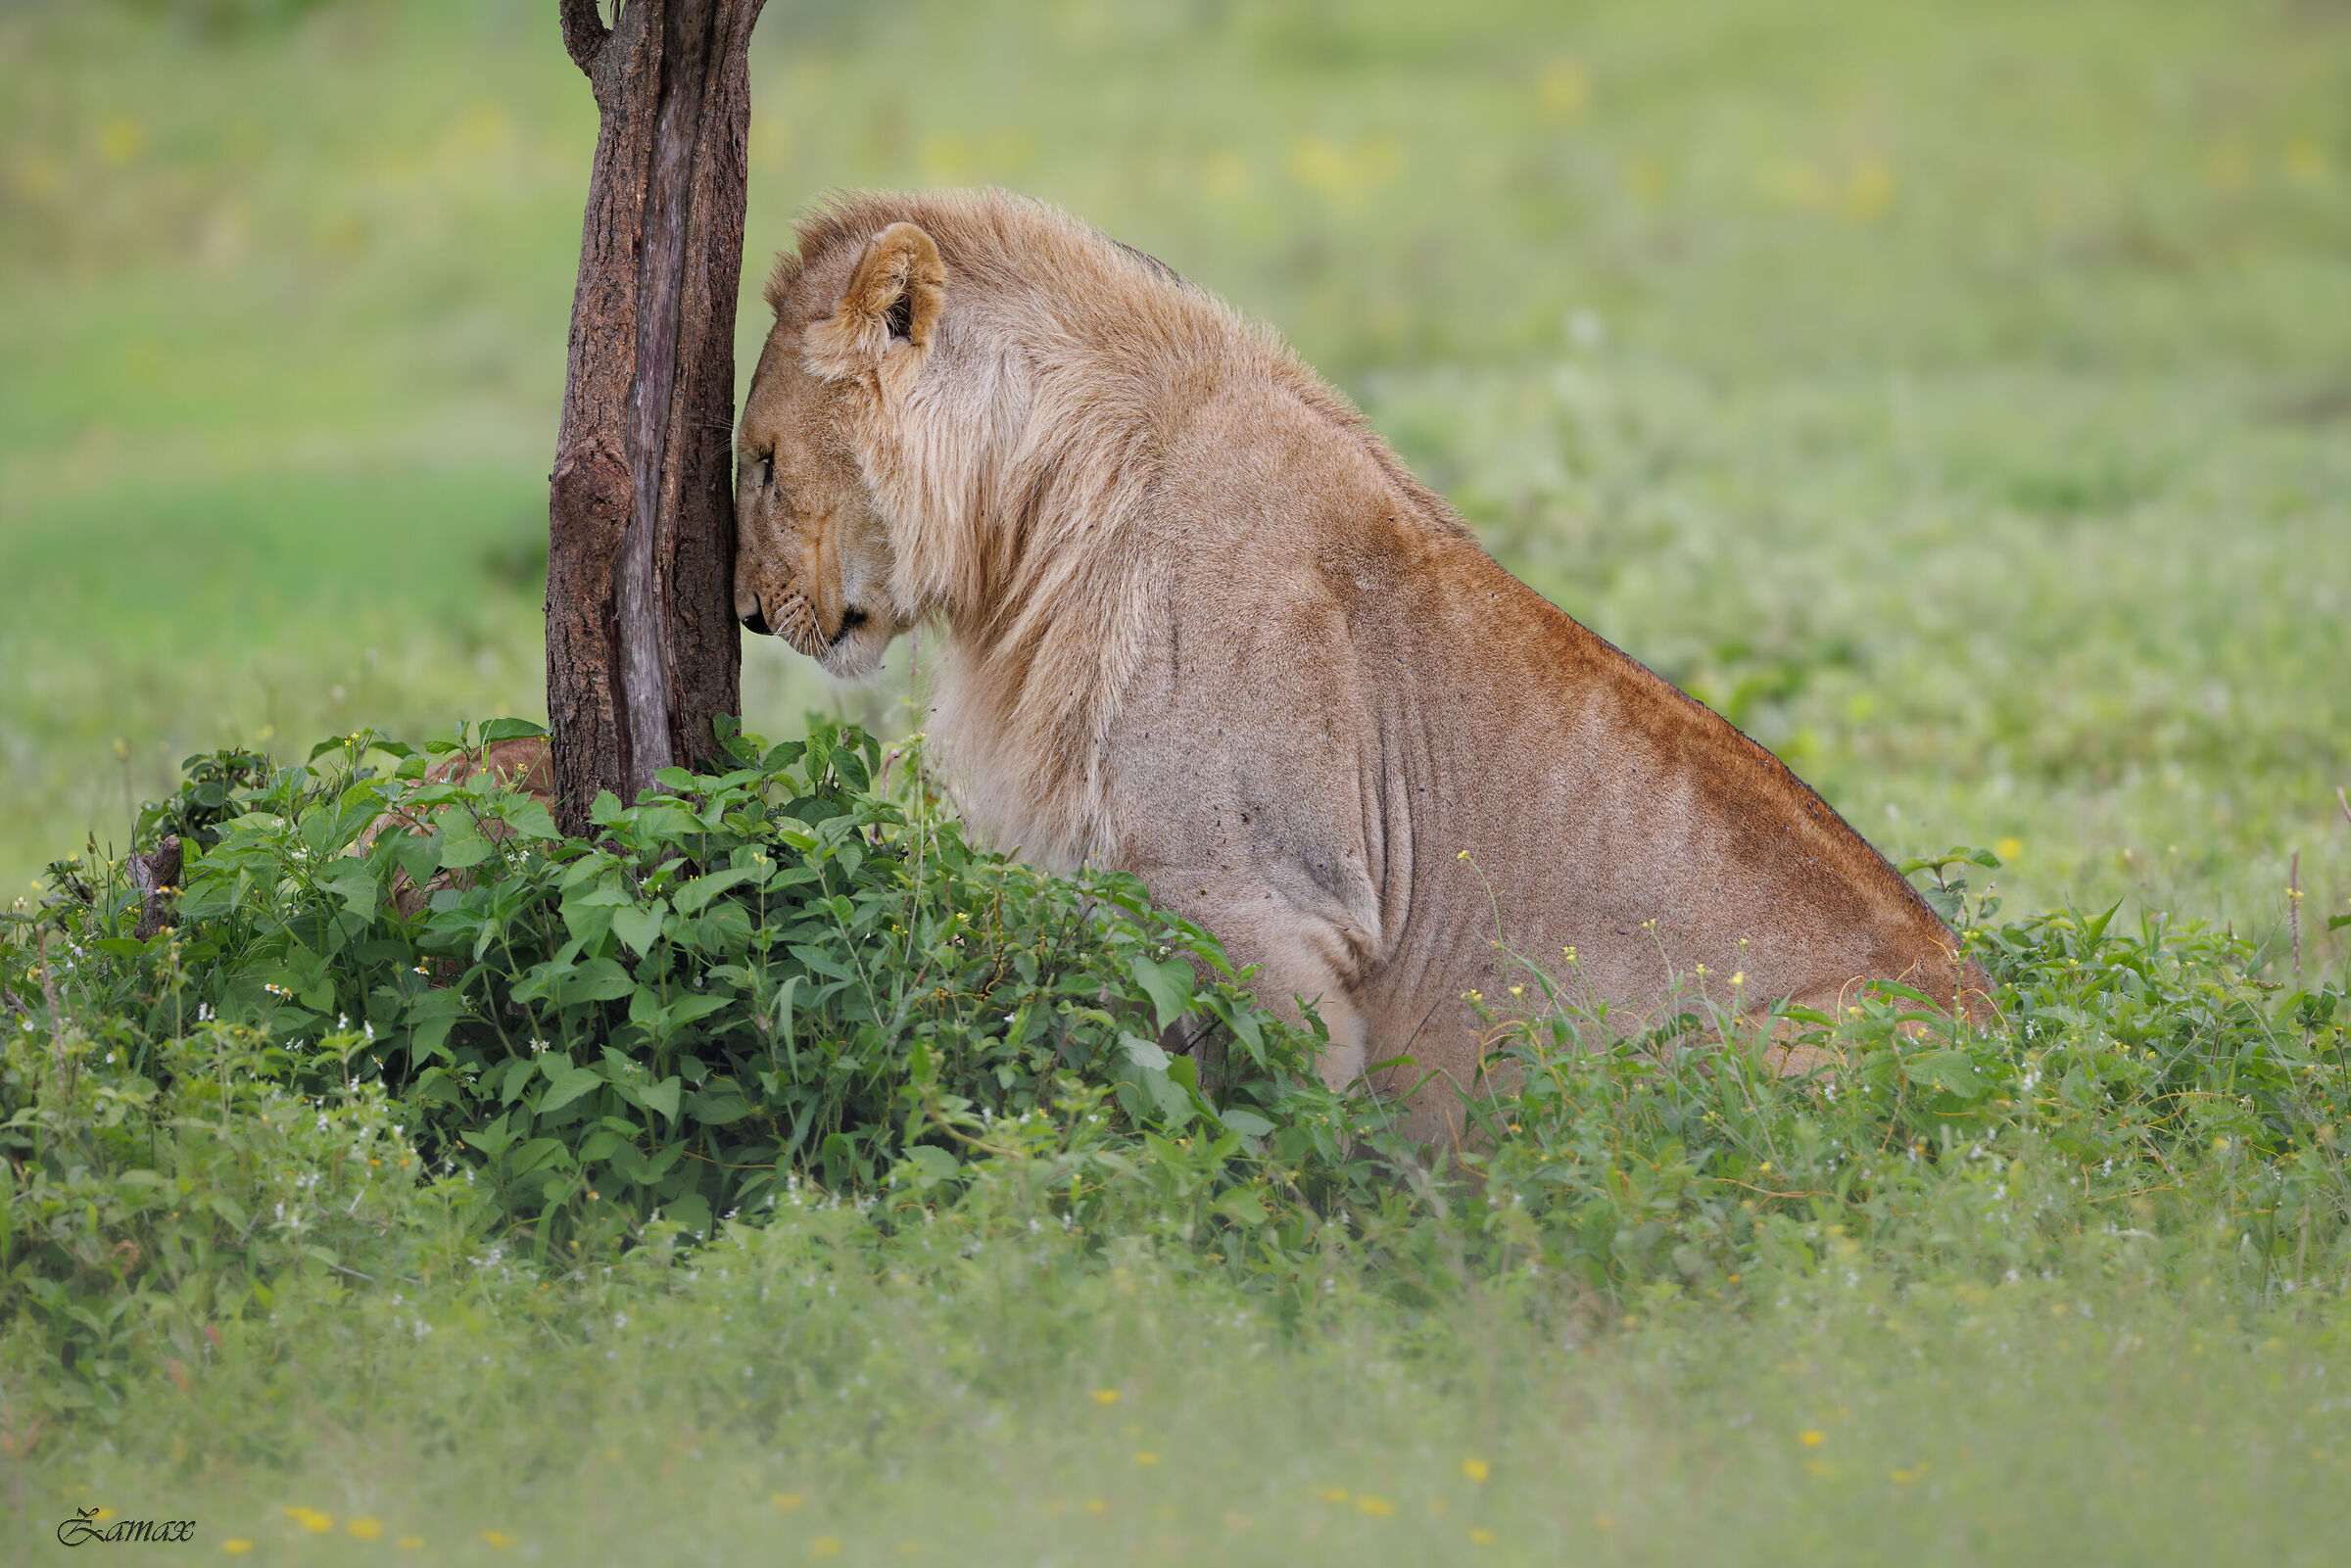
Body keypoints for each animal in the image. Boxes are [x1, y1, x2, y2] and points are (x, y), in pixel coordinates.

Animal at [734, 188, 1995, 1142]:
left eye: (762, 461)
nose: (746, 612)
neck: (1033, 510)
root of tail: (2010, 1067)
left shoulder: (1264, 902)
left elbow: (1273, 1131)